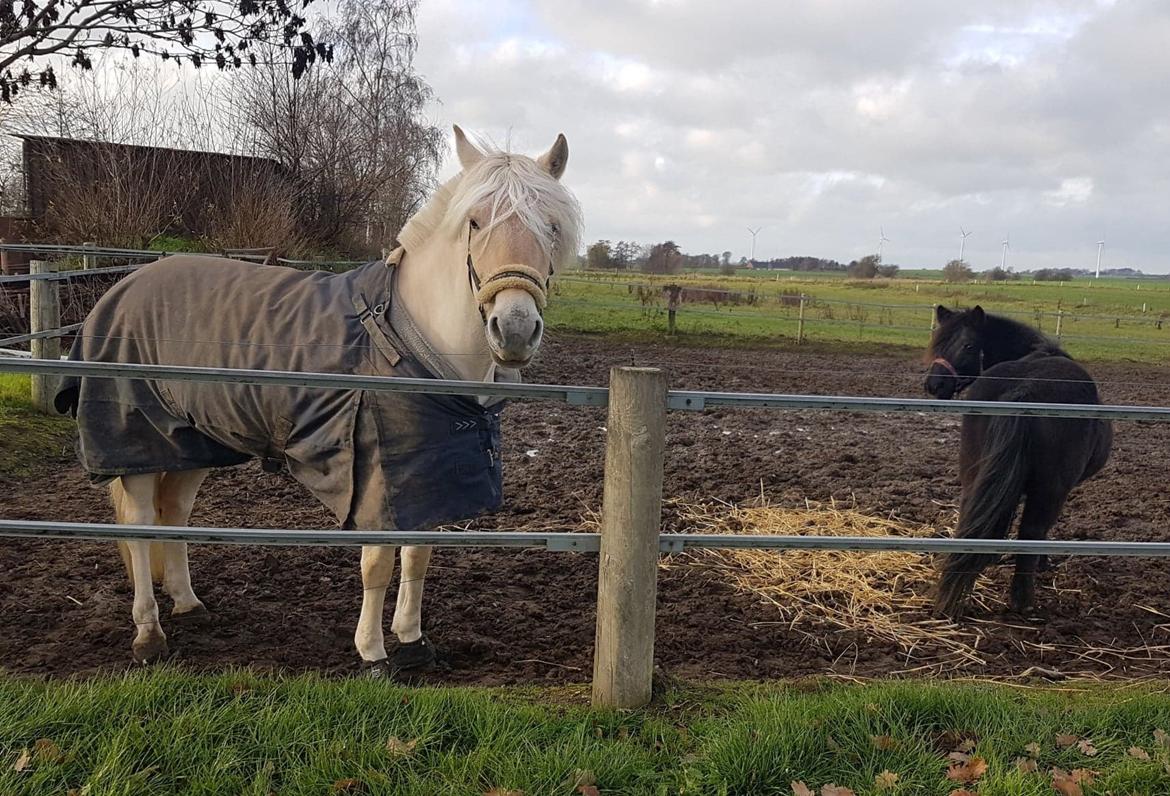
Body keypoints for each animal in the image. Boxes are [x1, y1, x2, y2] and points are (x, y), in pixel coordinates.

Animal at [54, 127, 585, 674]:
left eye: (551, 227)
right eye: (475, 222)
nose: (515, 329)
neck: (404, 339)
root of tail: (124, 285)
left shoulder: (426, 474)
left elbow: (418, 554)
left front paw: (413, 642)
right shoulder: (374, 478)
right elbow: (377, 563)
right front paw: (373, 654)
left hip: (189, 443)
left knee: (175, 513)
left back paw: (188, 603)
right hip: (136, 442)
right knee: (141, 525)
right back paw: (148, 633)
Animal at [921, 304, 1113, 613]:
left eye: (968, 346)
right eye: (938, 344)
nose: (934, 384)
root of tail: (1024, 389)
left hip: (973, 475)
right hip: (1050, 489)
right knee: (1032, 531)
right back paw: (1023, 602)